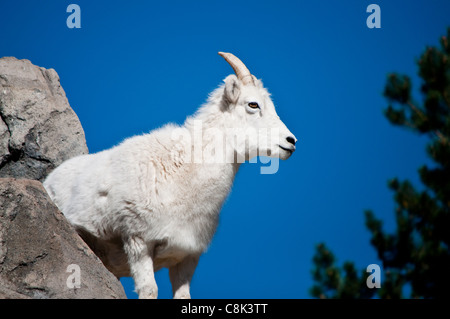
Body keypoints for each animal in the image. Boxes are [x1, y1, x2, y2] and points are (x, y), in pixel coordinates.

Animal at [41, 52, 296, 300]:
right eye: (253, 104)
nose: (291, 142)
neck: (183, 180)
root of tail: (49, 180)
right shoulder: (138, 242)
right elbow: (149, 290)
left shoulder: (187, 256)